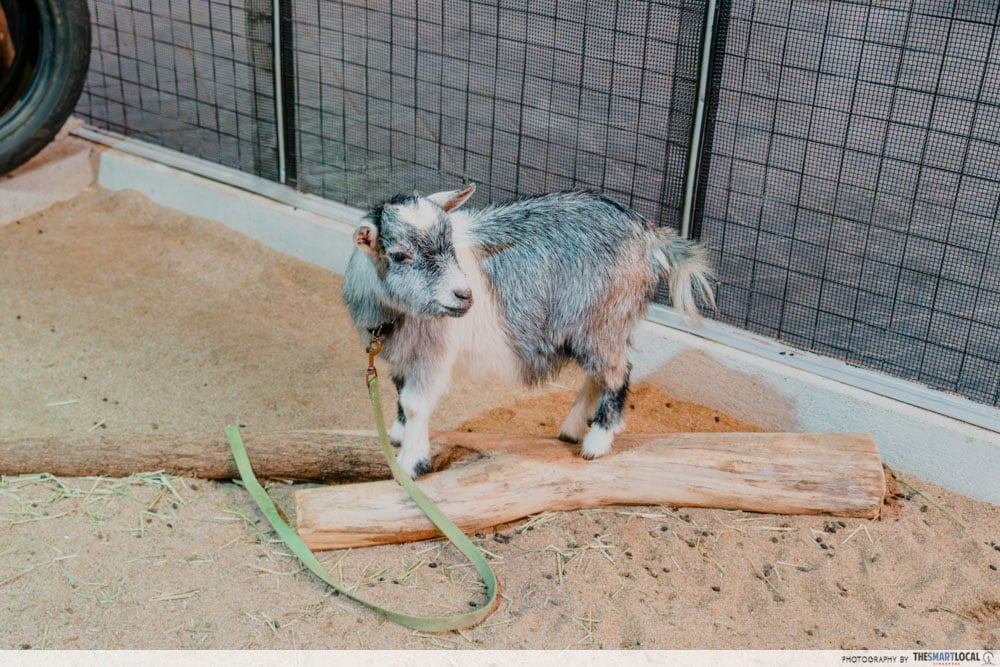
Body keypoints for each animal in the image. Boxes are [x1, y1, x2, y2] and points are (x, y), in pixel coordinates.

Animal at [343, 184, 715, 478]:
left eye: (450, 244)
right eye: (399, 255)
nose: (464, 295)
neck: (392, 314)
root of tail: (649, 235)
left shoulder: (433, 356)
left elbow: (415, 403)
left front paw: (410, 463)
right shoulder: (401, 356)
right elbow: (400, 394)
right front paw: (398, 434)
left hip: (605, 320)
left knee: (618, 373)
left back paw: (596, 442)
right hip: (591, 329)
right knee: (598, 374)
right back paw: (573, 428)